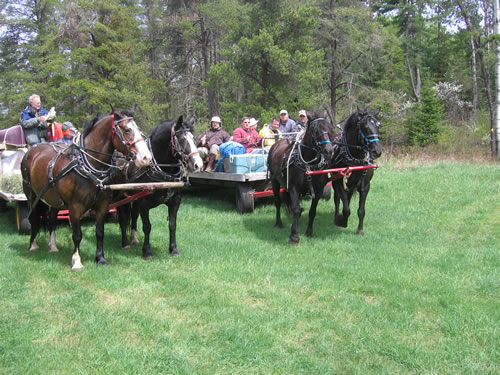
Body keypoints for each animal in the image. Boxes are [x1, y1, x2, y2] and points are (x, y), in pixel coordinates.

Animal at [20, 108, 152, 270]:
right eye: (127, 130)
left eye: (138, 128)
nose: (146, 158)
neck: (88, 164)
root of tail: (32, 151)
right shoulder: (75, 207)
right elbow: (77, 235)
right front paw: (77, 261)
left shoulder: (102, 206)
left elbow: (100, 232)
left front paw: (100, 258)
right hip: (31, 195)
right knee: (33, 218)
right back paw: (33, 245)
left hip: (53, 197)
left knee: (52, 220)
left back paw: (53, 246)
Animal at [115, 116, 203, 260]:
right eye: (182, 139)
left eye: (194, 139)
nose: (198, 165)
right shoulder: (144, 203)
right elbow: (147, 226)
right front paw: (147, 251)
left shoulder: (175, 201)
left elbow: (172, 224)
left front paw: (173, 249)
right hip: (120, 196)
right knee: (123, 218)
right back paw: (125, 243)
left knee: (133, 215)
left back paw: (134, 239)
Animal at [268, 114, 338, 244]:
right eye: (316, 130)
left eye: (330, 128)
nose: (329, 151)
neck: (308, 164)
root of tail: (277, 144)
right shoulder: (293, 188)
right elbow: (295, 209)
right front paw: (294, 236)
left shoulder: (318, 190)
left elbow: (312, 211)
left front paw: (309, 232)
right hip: (274, 181)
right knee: (278, 202)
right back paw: (278, 223)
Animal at [332, 107, 382, 235]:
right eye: (365, 126)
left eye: (379, 125)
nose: (377, 151)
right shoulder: (340, 183)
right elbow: (346, 209)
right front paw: (341, 221)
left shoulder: (365, 186)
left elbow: (361, 210)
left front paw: (360, 230)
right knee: (337, 199)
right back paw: (336, 216)